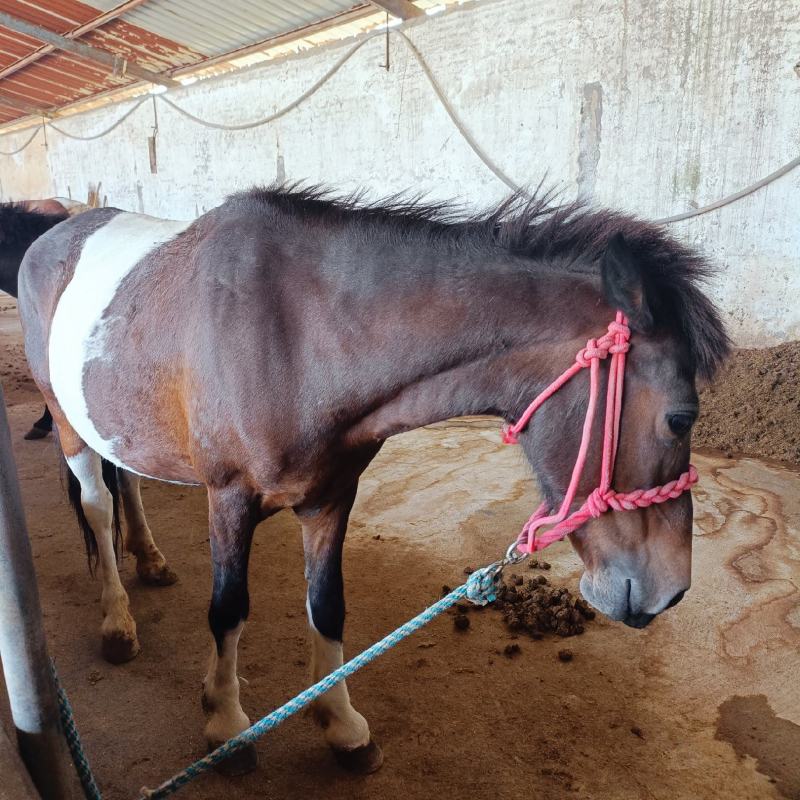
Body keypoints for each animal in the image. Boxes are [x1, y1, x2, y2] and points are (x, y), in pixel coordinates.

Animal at [17, 185, 729, 775]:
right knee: (98, 508)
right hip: (69, 424)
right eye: (680, 417)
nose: (670, 591)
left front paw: (341, 725)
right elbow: (228, 609)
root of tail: (52, 237)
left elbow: (327, 606)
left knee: (128, 486)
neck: (298, 337)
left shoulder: (331, 499)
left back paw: (151, 560)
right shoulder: (230, 497)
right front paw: (226, 725)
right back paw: (117, 621)